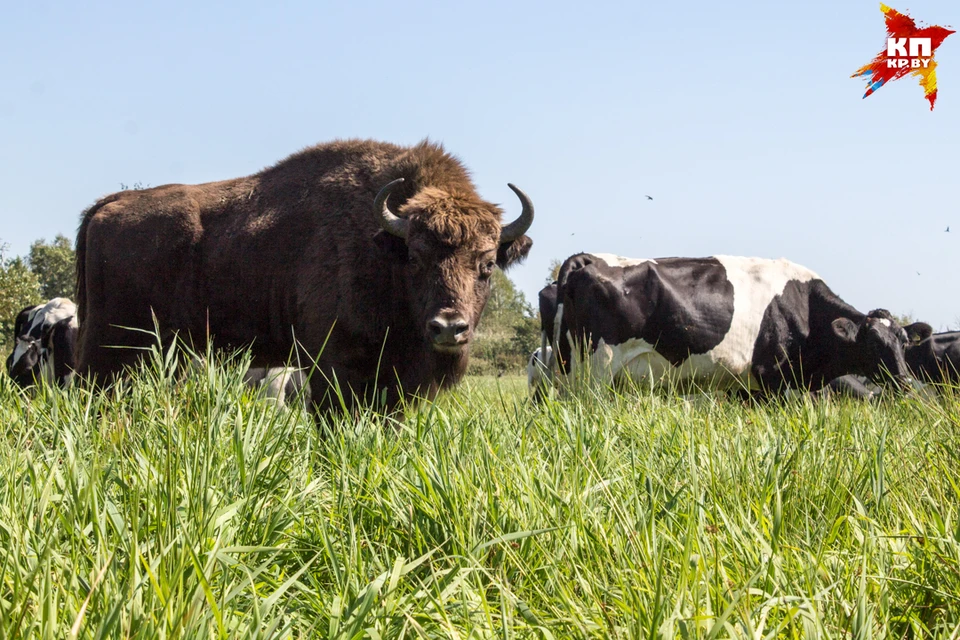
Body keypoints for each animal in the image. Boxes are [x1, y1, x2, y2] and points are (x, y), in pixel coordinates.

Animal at [77, 139, 532, 416]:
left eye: (487, 264)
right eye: (416, 259)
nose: (448, 328)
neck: (382, 244)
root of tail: (107, 206)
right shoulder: (334, 366)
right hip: (114, 348)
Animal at [544, 251, 920, 392]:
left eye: (905, 343)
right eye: (873, 343)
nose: (904, 379)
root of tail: (589, 258)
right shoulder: (774, 378)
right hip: (595, 371)